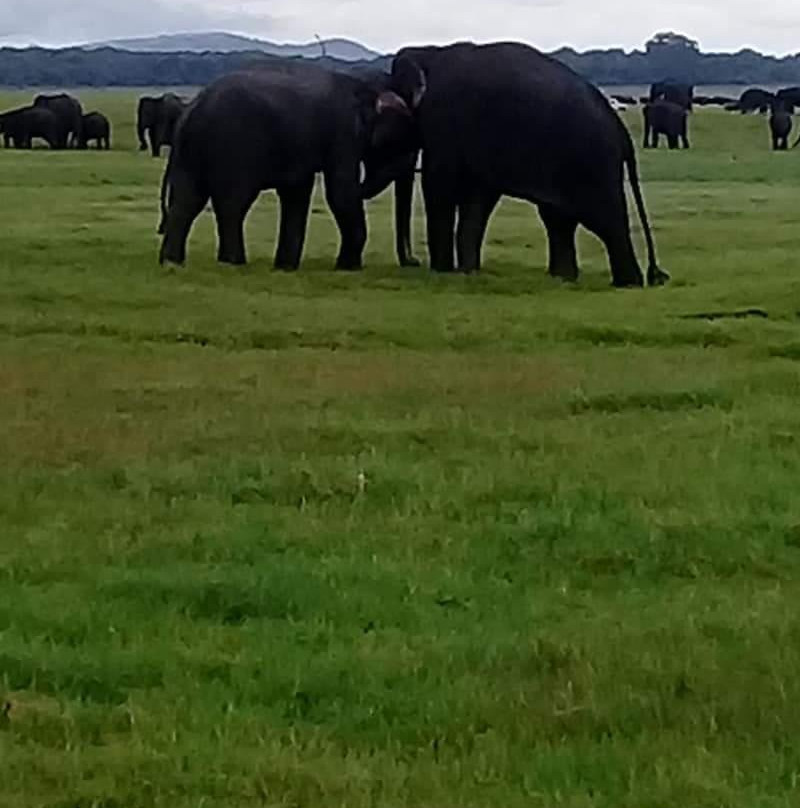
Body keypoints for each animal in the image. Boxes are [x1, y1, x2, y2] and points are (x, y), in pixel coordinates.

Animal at [159, 61, 416, 268]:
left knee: (187, 200)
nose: (414, 262)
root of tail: (193, 107)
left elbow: (297, 191)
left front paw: (286, 267)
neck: (365, 85)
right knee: (233, 202)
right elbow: (340, 192)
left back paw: (172, 263)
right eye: (399, 145)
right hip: (232, 144)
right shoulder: (343, 133)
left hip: (189, 151)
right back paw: (234, 262)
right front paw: (348, 268)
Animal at [362, 41, 668, 288]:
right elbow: (477, 198)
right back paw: (563, 279)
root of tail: (621, 130)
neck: (429, 53)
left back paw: (626, 284)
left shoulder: (445, 120)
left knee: (604, 218)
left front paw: (443, 272)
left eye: (382, 136)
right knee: (558, 218)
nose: (412, 261)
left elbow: (440, 185)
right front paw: (467, 273)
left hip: (592, 161)